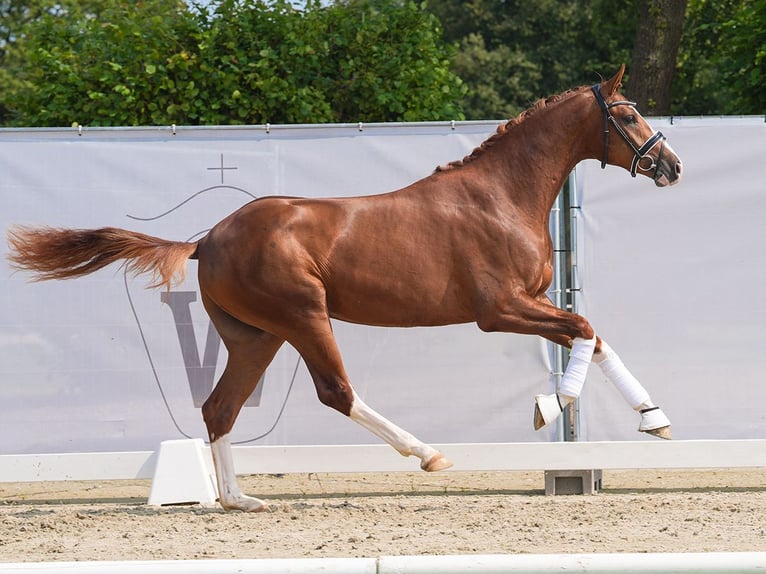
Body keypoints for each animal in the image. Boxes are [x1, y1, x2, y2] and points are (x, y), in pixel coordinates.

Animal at [7, 67, 684, 512]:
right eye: (627, 115)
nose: (671, 165)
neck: (502, 195)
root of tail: (209, 240)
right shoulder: (501, 310)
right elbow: (584, 332)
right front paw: (551, 406)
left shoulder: (532, 304)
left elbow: (595, 337)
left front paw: (655, 421)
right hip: (305, 318)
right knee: (335, 392)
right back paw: (427, 454)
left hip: (257, 337)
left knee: (220, 407)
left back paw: (237, 499)